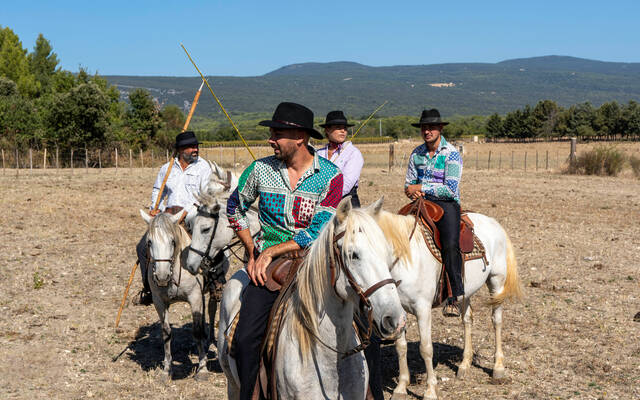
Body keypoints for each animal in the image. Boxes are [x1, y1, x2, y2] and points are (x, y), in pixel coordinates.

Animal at [140, 211, 210, 380]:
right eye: (149, 242)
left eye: (172, 241)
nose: (162, 276)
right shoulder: (159, 301)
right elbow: (166, 332)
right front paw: (166, 370)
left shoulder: (195, 297)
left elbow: (197, 331)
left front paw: (202, 369)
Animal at [376, 205, 520, 398]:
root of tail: (494, 222)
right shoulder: (398, 311)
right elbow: (401, 346)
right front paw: (400, 388)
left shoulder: (422, 309)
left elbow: (426, 348)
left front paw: (430, 391)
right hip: (465, 290)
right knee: (467, 320)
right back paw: (464, 365)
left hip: (496, 281)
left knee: (496, 320)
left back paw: (498, 368)